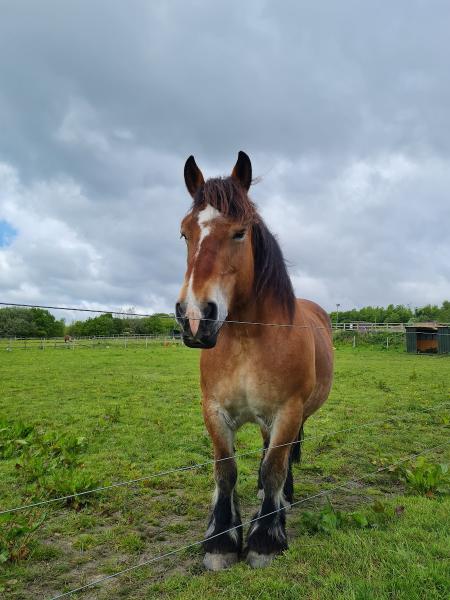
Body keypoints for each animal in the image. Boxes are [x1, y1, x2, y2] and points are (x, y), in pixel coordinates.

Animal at [176, 152, 334, 568]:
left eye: (240, 232)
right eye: (185, 233)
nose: (195, 317)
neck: (248, 341)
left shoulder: (287, 412)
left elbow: (276, 467)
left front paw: (265, 539)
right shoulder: (214, 411)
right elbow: (226, 471)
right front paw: (221, 541)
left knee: (279, 458)